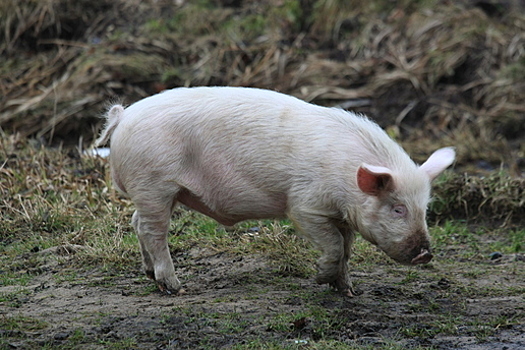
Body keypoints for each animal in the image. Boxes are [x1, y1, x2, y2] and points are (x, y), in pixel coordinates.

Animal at [95, 86, 454, 296]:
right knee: (153, 231)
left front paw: (348, 290)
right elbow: (334, 246)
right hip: (154, 183)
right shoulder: (305, 205)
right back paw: (173, 287)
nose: (426, 253)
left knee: (137, 223)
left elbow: (347, 249)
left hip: (155, 192)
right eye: (397, 208)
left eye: (424, 209)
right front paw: (321, 280)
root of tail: (123, 115)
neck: (346, 180)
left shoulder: (345, 216)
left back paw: (149, 275)